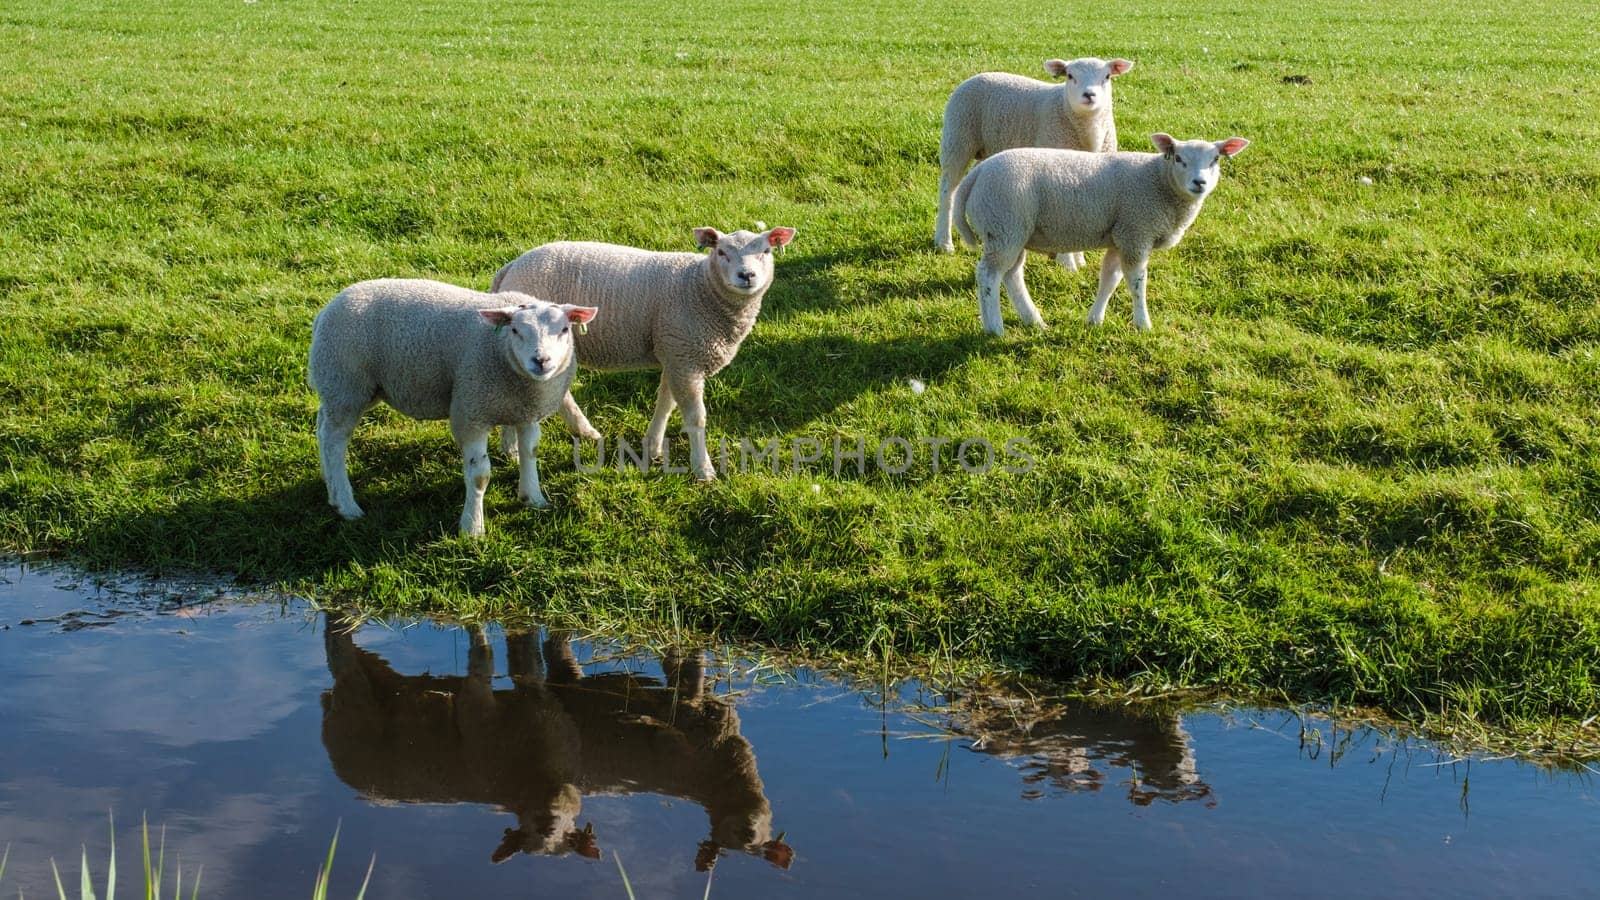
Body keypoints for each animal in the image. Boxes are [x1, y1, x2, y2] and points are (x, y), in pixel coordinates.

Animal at [308, 277, 598, 531]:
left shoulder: (525, 412)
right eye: (515, 330)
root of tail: (325, 311)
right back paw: (346, 504)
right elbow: (479, 475)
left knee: (322, 427)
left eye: (564, 330)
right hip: (346, 385)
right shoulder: (470, 411)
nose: (541, 361)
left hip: (352, 389)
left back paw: (330, 486)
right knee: (334, 442)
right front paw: (472, 527)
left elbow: (530, 453)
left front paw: (533, 498)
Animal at [492, 224, 793, 480]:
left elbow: (666, 403)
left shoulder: (675, 352)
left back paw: (579, 433)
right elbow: (695, 418)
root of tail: (510, 268)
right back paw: (518, 448)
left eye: (766, 251)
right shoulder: (684, 355)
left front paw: (653, 447)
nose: (747, 276)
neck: (700, 287)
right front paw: (703, 470)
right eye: (721, 252)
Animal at [934, 53, 1132, 265]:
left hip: (988, 147)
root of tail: (978, 75)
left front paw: (1078, 259)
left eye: (1107, 77)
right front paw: (1066, 262)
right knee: (947, 190)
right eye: (1070, 76)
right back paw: (944, 242)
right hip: (957, 139)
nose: (1089, 95)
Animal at [947, 131, 1248, 331]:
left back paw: (1034, 320)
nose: (1199, 182)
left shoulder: (1121, 236)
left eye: (1215, 160)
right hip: (1003, 225)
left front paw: (1095, 320)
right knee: (988, 276)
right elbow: (1137, 283)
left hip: (1013, 232)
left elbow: (1110, 280)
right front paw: (1143, 325)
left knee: (1011, 275)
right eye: (1178, 158)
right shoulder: (1136, 232)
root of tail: (976, 175)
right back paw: (994, 329)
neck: (1159, 181)